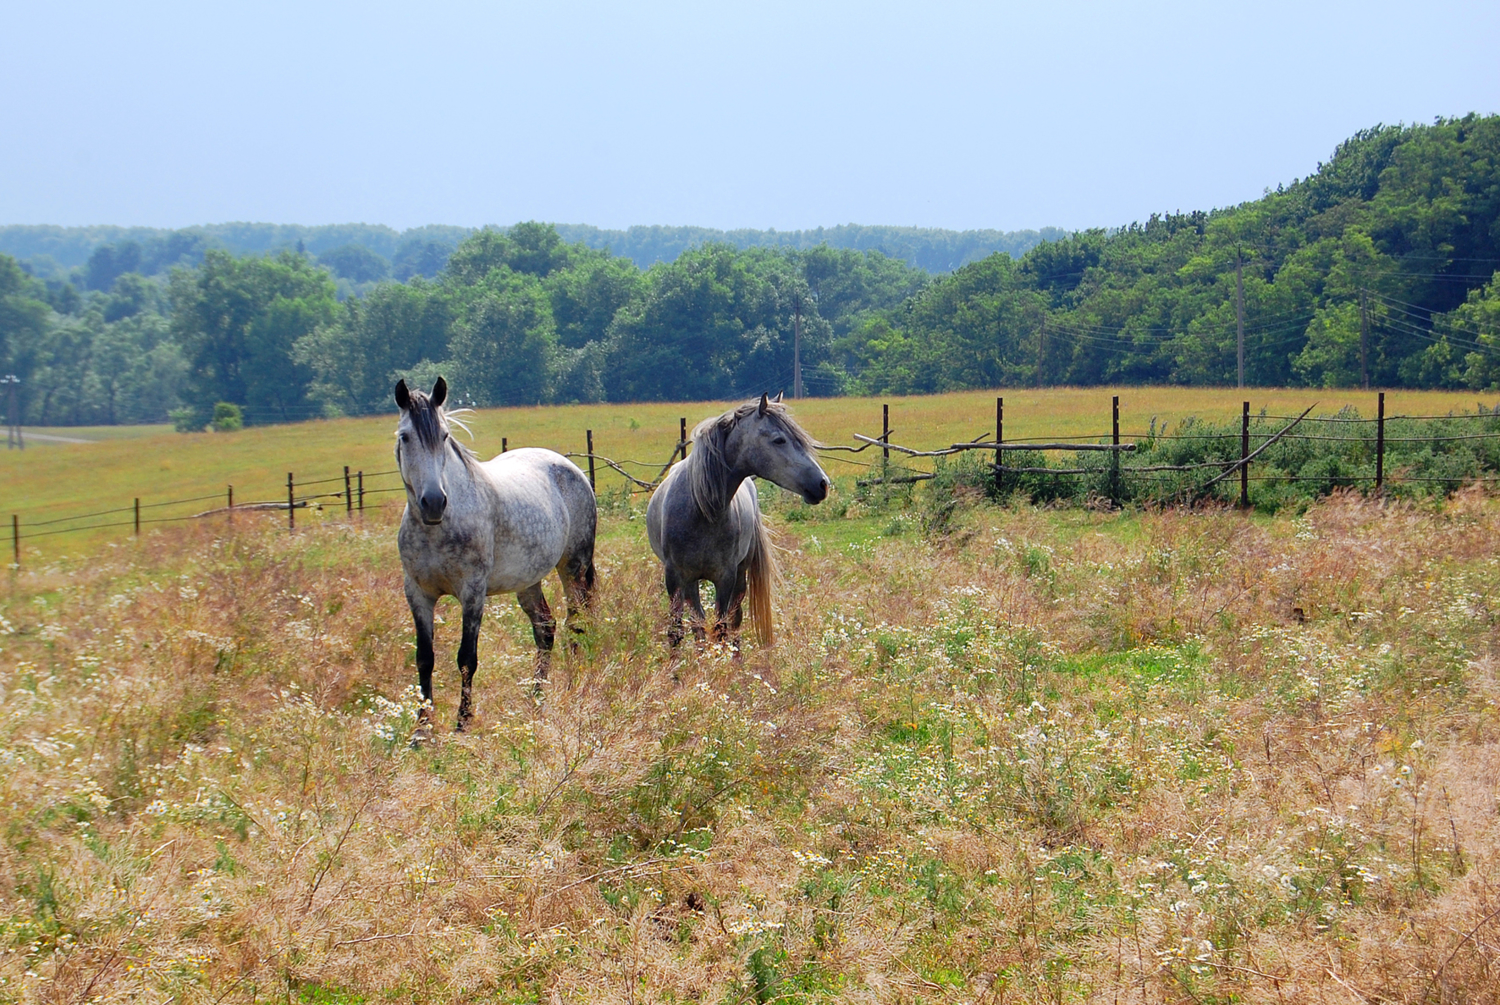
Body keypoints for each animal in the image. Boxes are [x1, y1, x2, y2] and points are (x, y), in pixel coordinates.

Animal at [393, 378, 597, 741]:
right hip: (529, 580)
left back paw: (572, 690)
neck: (438, 528)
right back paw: (536, 699)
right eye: (405, 436)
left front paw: (462, 723)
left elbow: (466, 658)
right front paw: (421, 729)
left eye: (443, 436)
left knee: (575, 624)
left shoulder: (473, 592)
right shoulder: (417, 593)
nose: (433, 502)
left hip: (573, 568)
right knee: (545, 629)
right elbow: (424, 658)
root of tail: (572, 469)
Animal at [645, 393, 834, 654]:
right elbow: (677, 632)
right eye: (779, 440)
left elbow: (722, 629)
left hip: (739, 576)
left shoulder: (725, 577)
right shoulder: (674, 577)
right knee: (698, 624)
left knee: (732, 625)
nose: (823, 484)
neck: (702, 511)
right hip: (691, 582)